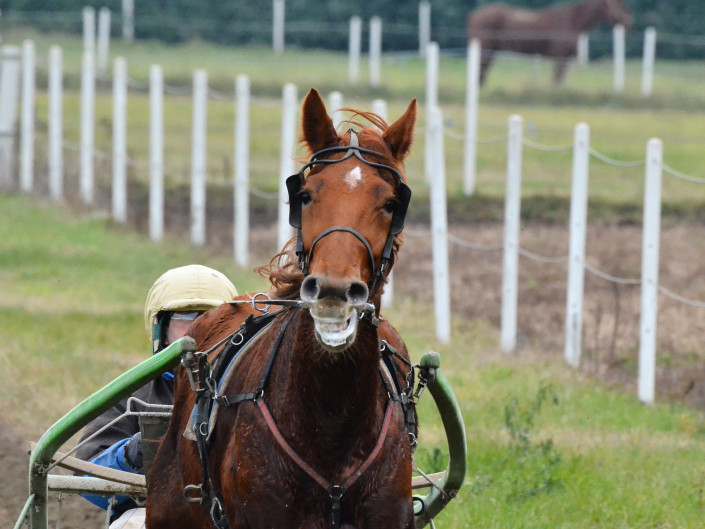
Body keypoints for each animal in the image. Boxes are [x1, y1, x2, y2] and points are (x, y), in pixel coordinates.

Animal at [468, 0, 632, 84]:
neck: (573, 20)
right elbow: (556, 80)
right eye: (614, 3)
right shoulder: (560, 58)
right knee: (480, 74)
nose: (628, 22)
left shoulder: (565, 59)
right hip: (486, 51)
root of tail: (475, 15)